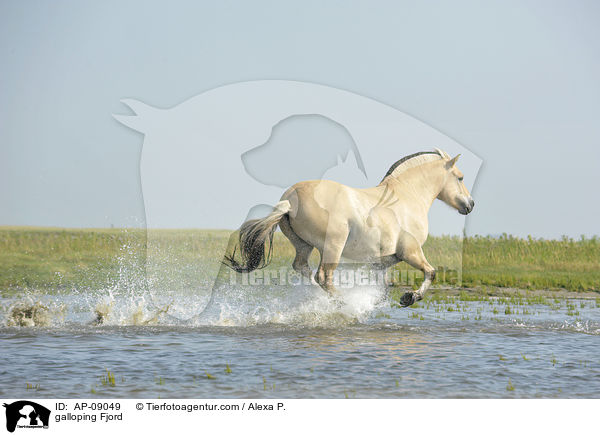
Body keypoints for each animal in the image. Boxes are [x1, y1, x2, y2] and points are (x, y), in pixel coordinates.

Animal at [223, 149, 476, 306]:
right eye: (460, 178)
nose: (470, 204)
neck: (406, 197)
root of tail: (289, 201)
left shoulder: (383, 262)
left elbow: (384, 288)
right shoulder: (411, 252)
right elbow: (430, 272)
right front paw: (409, 298)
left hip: (303, 246)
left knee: (303, 269)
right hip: (333, 246)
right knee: (323, 276)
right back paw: (343, 303)